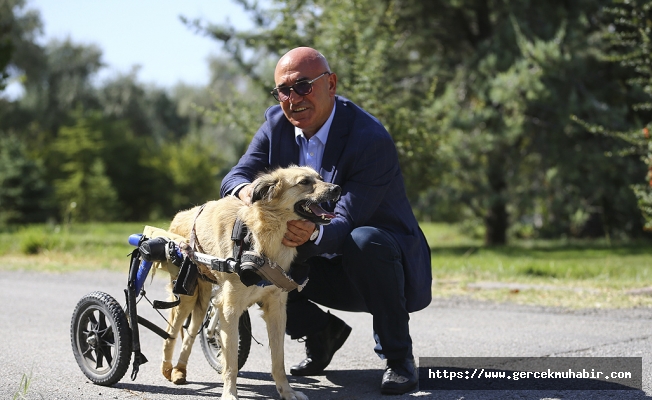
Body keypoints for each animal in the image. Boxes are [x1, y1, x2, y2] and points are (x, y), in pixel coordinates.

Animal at [160, 166, 342, 400]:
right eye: (304, 182)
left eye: (320, 178)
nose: (337, 189)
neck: (261, 238)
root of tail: (179, 216)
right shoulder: (229, 310)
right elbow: (230, 362)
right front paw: (230, 393)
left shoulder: (277, 310)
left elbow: (278, 360)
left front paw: (286, 391)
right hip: (186, 296)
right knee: (171, 334)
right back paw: (167, 369)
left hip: (202, 298)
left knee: (190, 334)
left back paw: (180, 370)